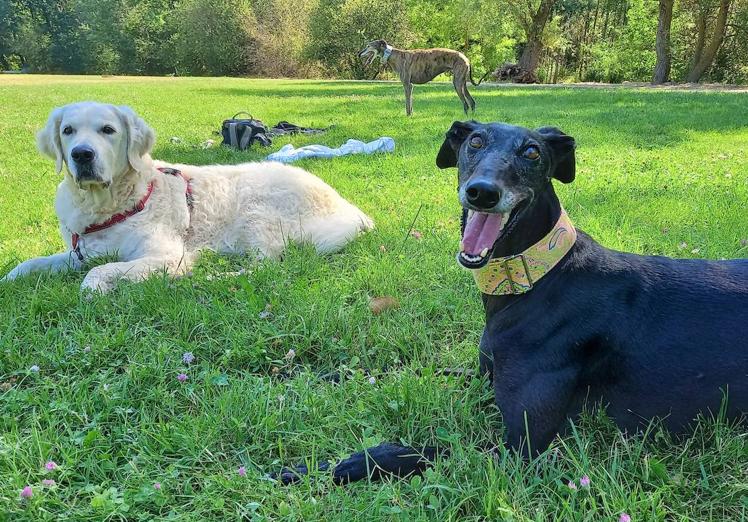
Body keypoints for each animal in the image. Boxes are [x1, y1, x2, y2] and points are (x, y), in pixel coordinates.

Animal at [1, 101, 372, 292]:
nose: (82, 154)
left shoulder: (164, 255)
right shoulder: (78, 251)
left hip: (256, 210)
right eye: (68, 131)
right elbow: (29, 264)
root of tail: (352, 209)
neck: (107, 204)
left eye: (108, 130)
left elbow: (96, 275)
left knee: (266, 268)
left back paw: (208, 276)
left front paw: (102, 287)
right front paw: (9, 279)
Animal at [360, 38, 488, 116]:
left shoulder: (407, 85)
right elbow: (410, 104)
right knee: (472, 102)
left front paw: (408, 117)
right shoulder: (411, 86)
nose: (358, 53)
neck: (393, 55)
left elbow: (407, 104)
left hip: (457, 83)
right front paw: (411, 115)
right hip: (462, 82)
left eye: (368, 46)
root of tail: (466, 58)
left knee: (465, 103)